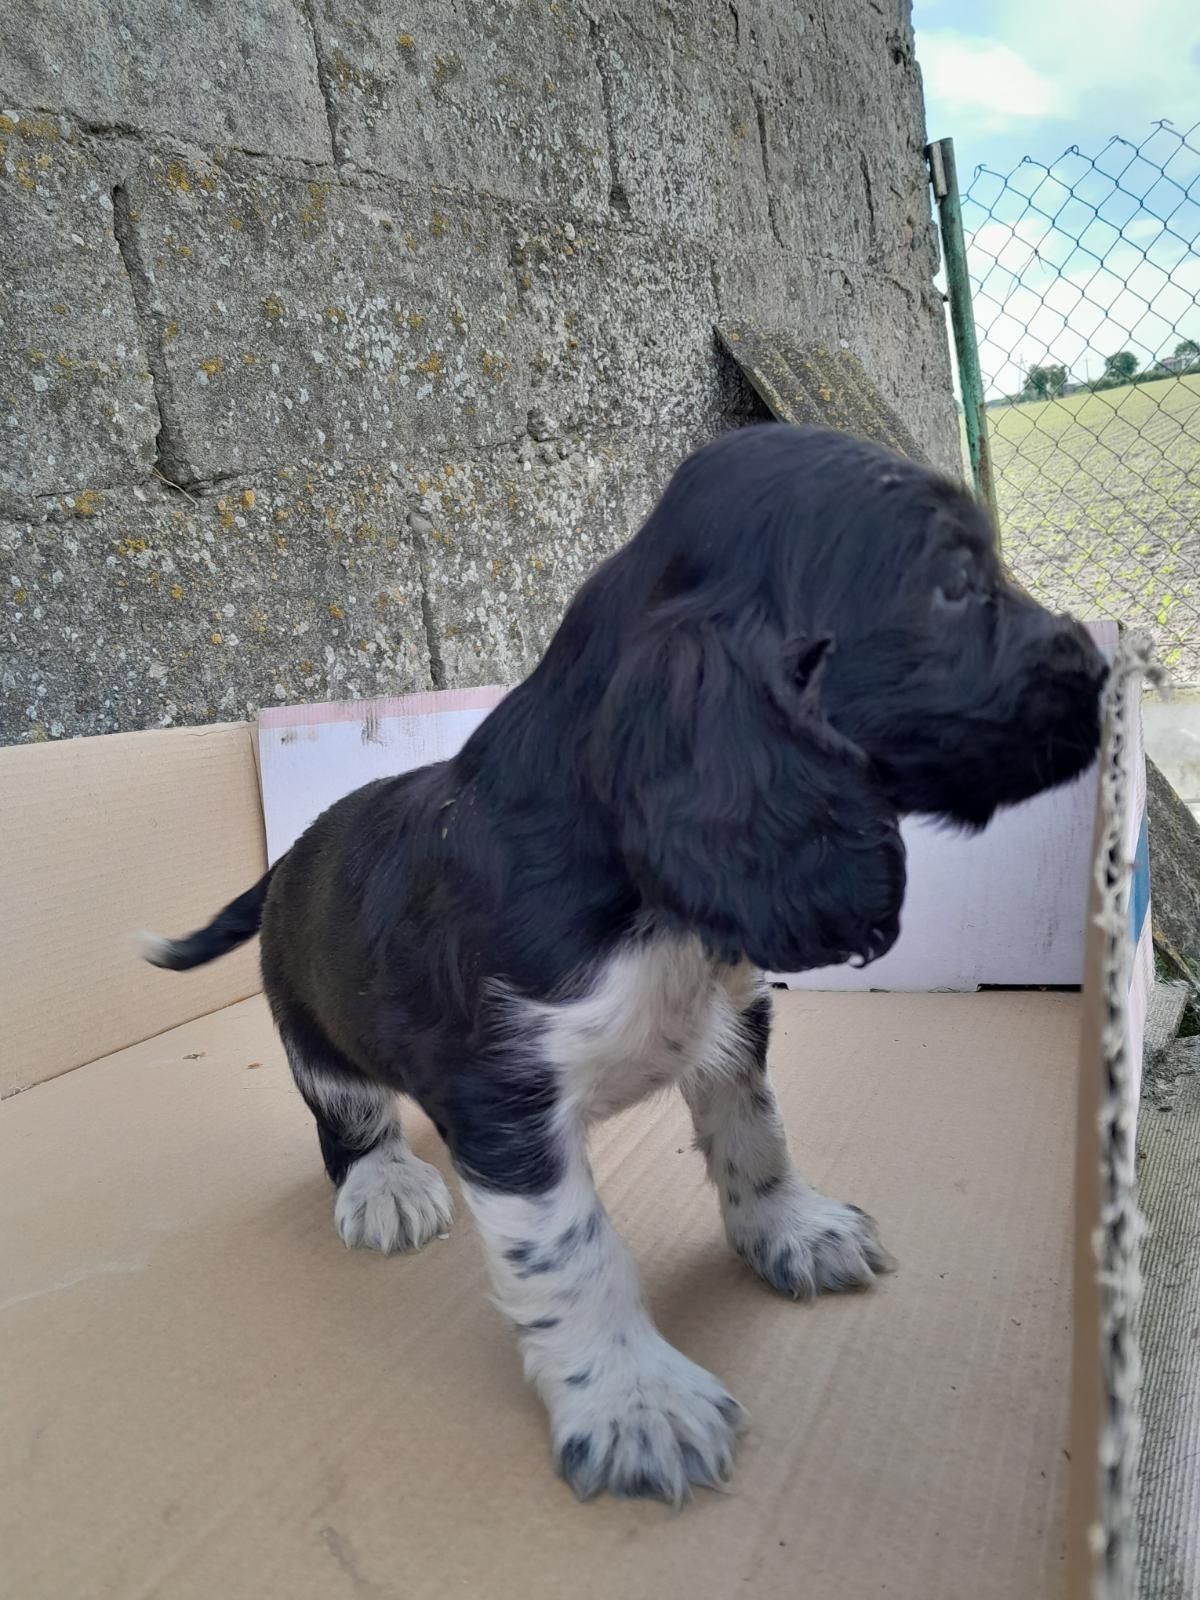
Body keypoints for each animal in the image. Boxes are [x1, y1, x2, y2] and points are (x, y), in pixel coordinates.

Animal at [145, 422, 1113, 1497]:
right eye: (953, 582)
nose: (1101, 668)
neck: (640, 902)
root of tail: (284, 862)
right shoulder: (505, 1097)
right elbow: (576, 1254)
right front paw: (633, 1403)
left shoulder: (732, 1019)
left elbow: (757, 1134)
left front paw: (792, 1232)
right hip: (313, 1034)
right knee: (346, 1120)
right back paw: (385, 1185)